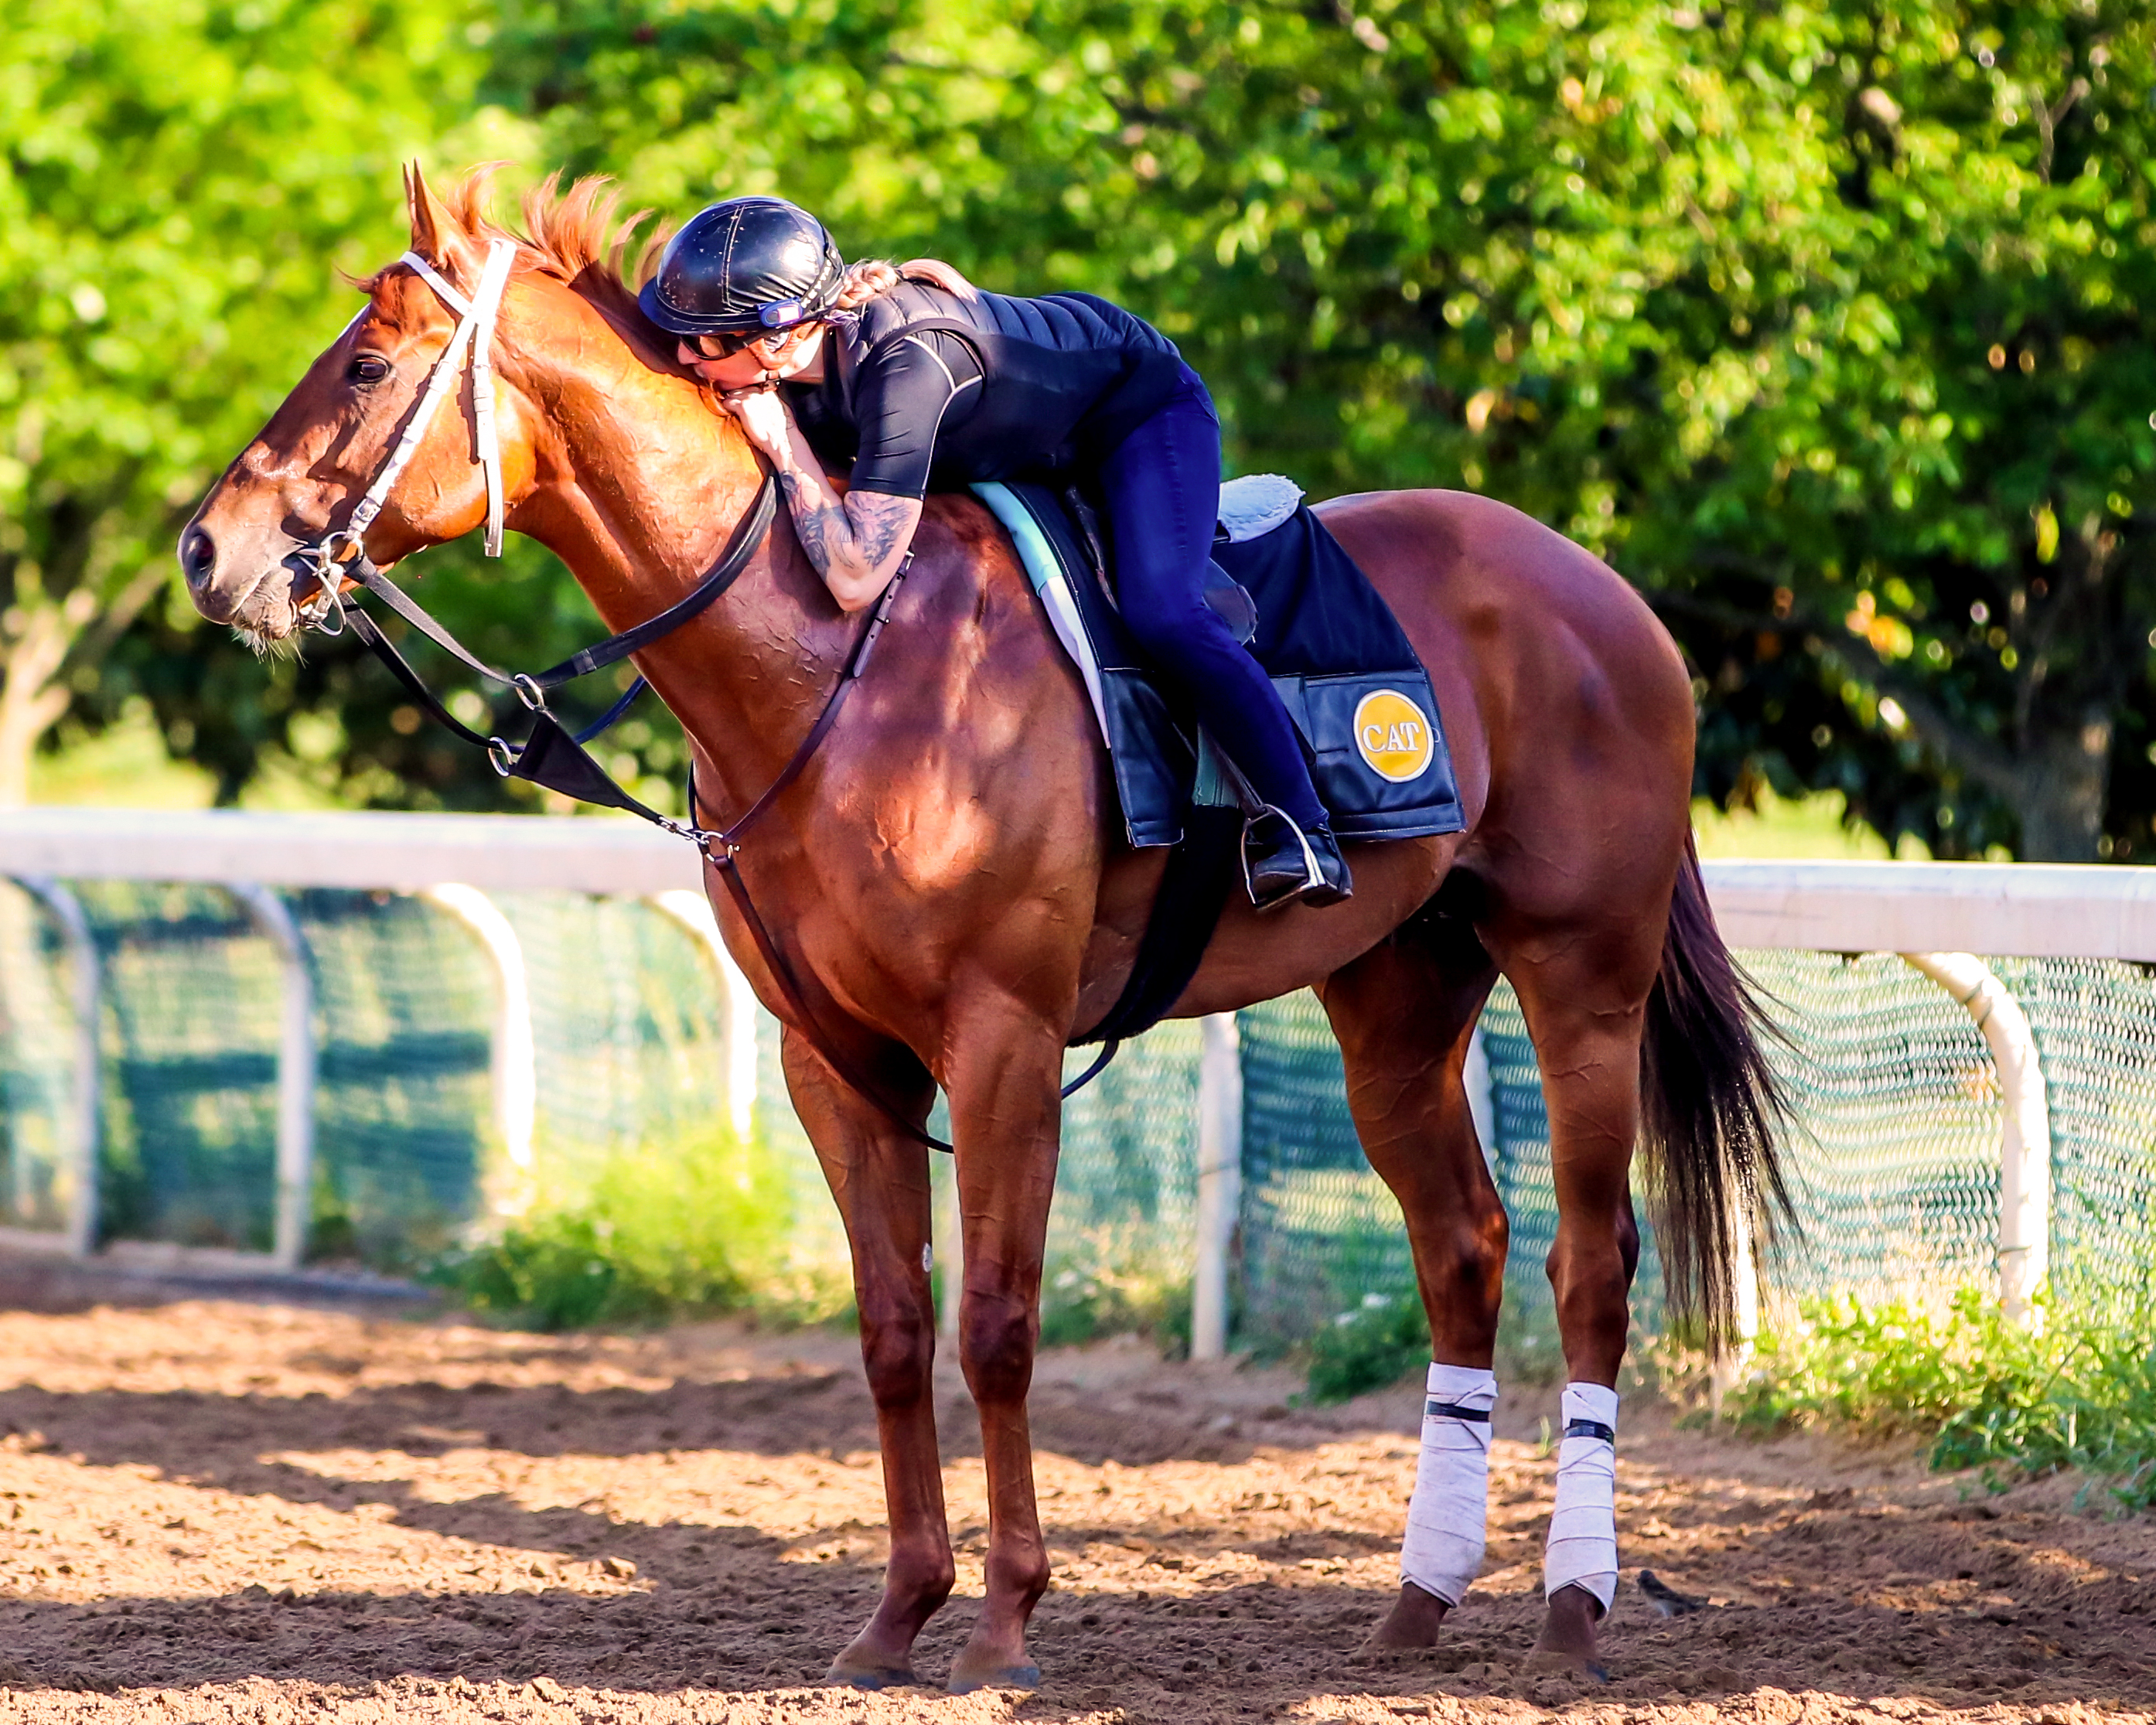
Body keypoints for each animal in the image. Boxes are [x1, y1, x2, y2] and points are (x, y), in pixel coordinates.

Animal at [181, 171, 1785, 1682]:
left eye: (365, 365)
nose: (206, 550)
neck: (833, 659)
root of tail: (1606, 593)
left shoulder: (1003, 1038)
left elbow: (997, 1328)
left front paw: (1005, 1622)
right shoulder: (835, 1060)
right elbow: (893, 1331)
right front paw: (896, 1615)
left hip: (1580, 969)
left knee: (1592, 1261)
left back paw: (1571, 1613)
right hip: (1396, 991)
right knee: (1462, 1246)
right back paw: (1413, 1606)